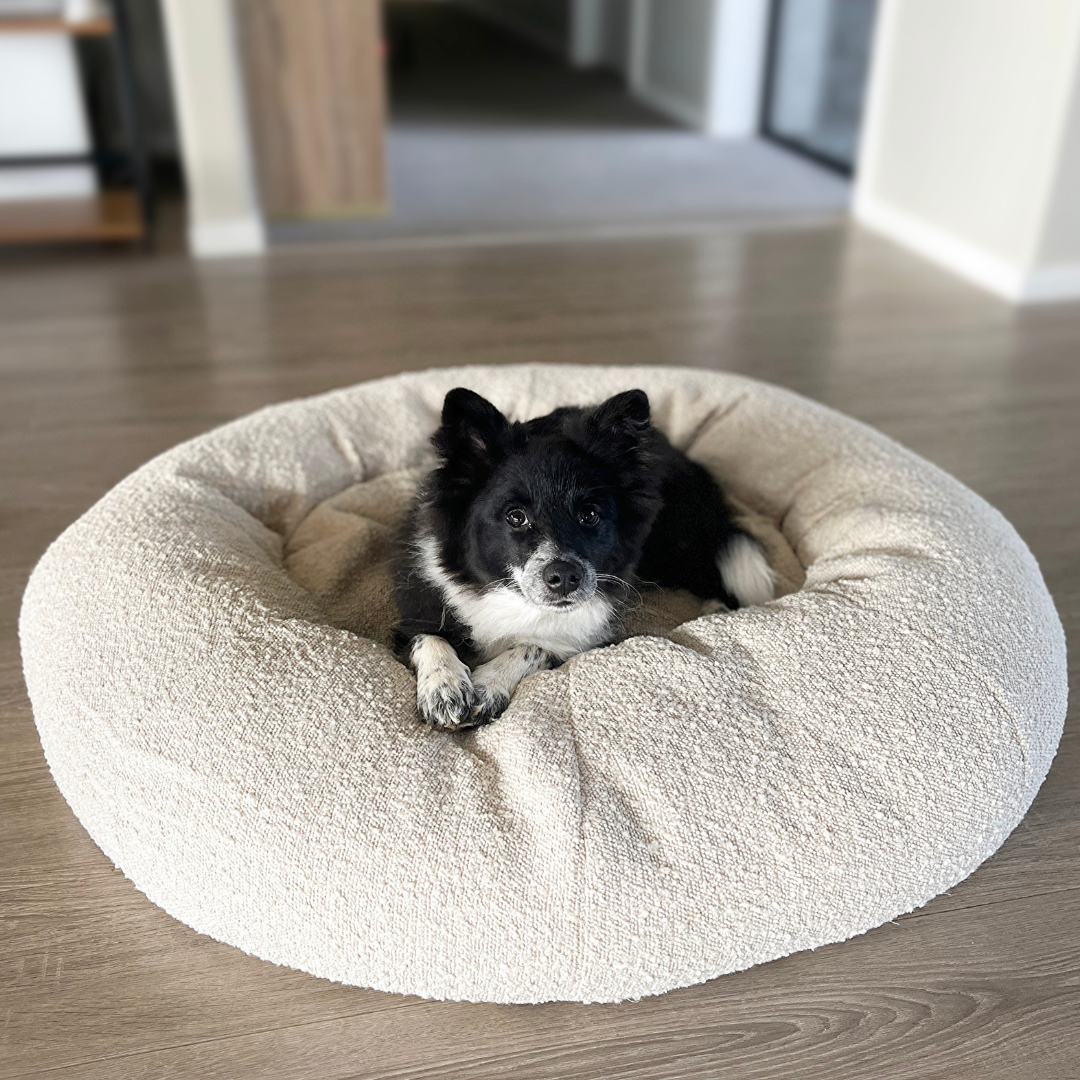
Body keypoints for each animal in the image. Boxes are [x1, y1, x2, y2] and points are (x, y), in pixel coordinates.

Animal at [393, 384, 773, 730]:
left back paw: (715, 608)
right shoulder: (415, 609)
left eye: (589, 515)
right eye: (515, 516)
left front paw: (487, 685)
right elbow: (430, 637)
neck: (513, 598)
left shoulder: (579, 639)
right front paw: (445, 687)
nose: (564, 577)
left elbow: (533, 646)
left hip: (675, 545)